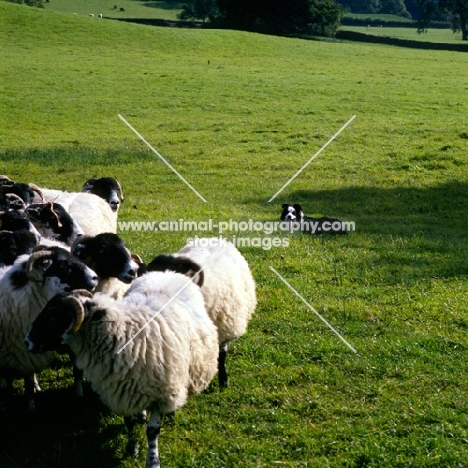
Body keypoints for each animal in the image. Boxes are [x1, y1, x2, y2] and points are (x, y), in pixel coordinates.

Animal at [26, 270, 220, 468]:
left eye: (54, 317)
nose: (27, 342)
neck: (124, 335)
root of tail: (168, 272)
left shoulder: (161, 393)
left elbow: (152, 431)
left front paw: (152, 460)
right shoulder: (122, 391)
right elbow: (129, 421)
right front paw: (131, 449)